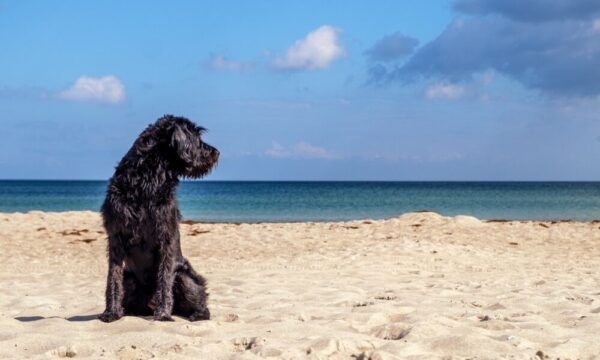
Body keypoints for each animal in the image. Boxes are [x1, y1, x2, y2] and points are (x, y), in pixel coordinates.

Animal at [97, 115, 219, 324]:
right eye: (196, 137)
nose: (216, 152)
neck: (147, 179)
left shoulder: (165, 236)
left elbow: (164, 278)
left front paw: (162, 314)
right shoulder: (116, 238)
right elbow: (113, 278)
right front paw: (111, 312)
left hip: (185, 277)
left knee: (202, 305)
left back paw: (195, 313)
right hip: (130, 278)